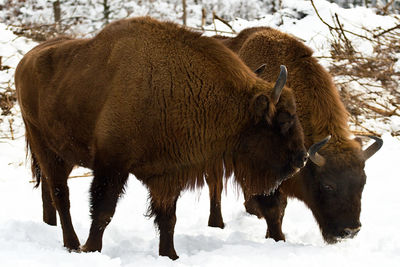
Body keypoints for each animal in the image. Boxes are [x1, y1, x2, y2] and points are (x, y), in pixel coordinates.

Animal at [15, 17, 308, 260]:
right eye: (283, 119)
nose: (302, 158)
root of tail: (24, 62)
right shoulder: (112, 167)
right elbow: (103, 211)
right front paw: (92, 250)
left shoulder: (167, 174)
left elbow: (168, 218)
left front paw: (170, 255)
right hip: (47, 149)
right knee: (60, 195)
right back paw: (73, 244)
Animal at [208, 27, 382, 245]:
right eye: (327, 185)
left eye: (363, 182)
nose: (350, 231)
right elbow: (274, 208)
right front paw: (278, 239)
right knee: (215, 185)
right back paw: (217, 224)